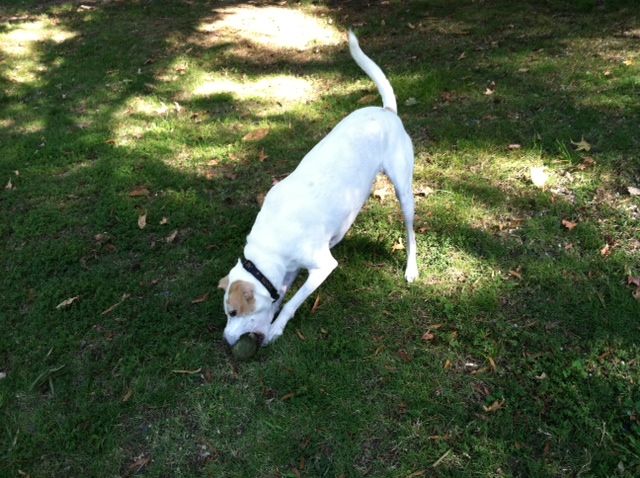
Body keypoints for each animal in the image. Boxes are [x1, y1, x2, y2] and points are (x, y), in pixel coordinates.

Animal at [219, 31, 420, 348]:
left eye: (233, 311)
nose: (226, 341)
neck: (271, 244)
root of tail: (385, 111)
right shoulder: (290, 269)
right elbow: (282, 296)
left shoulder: (323, 266)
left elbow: (292, 302)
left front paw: (276, 328)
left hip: (404, 191)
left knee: (411, 233)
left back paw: (412, 268)